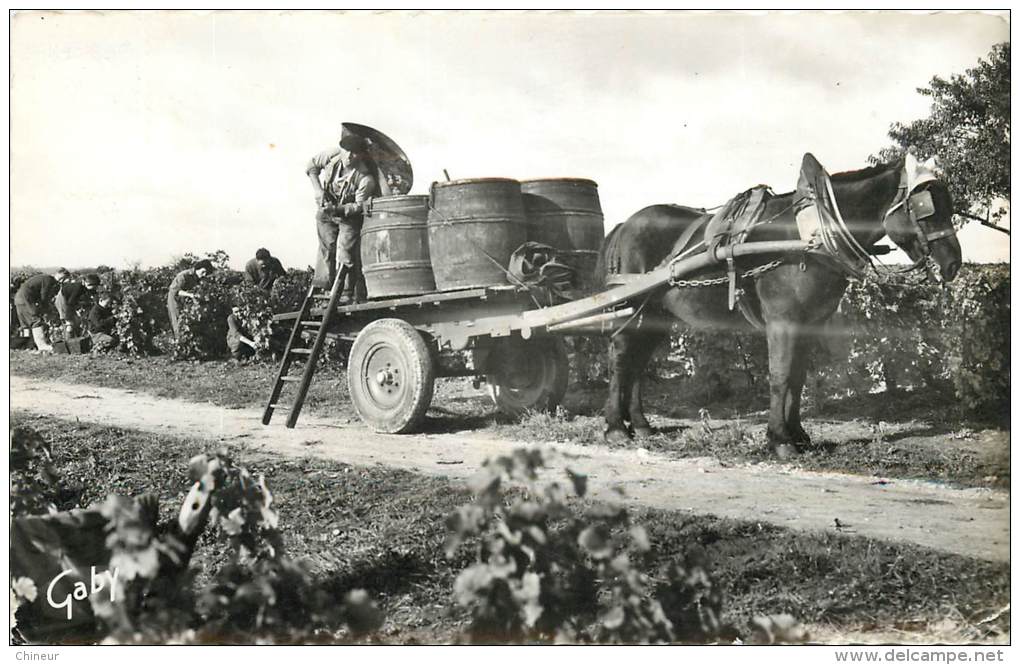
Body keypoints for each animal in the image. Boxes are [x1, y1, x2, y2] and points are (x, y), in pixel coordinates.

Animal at [595, 155, 958, 456]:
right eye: (925, 205)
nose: (953, 262)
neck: (810, 234)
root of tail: (625, 225)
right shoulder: (783, 321)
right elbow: (780, 376)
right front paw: (780, 440)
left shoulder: (808, 324)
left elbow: (797, 378)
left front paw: (798, 435)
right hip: (632, 309)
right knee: (621, 357)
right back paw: (615, 428)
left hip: (655, 314)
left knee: (638, 362)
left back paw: (640, 425)